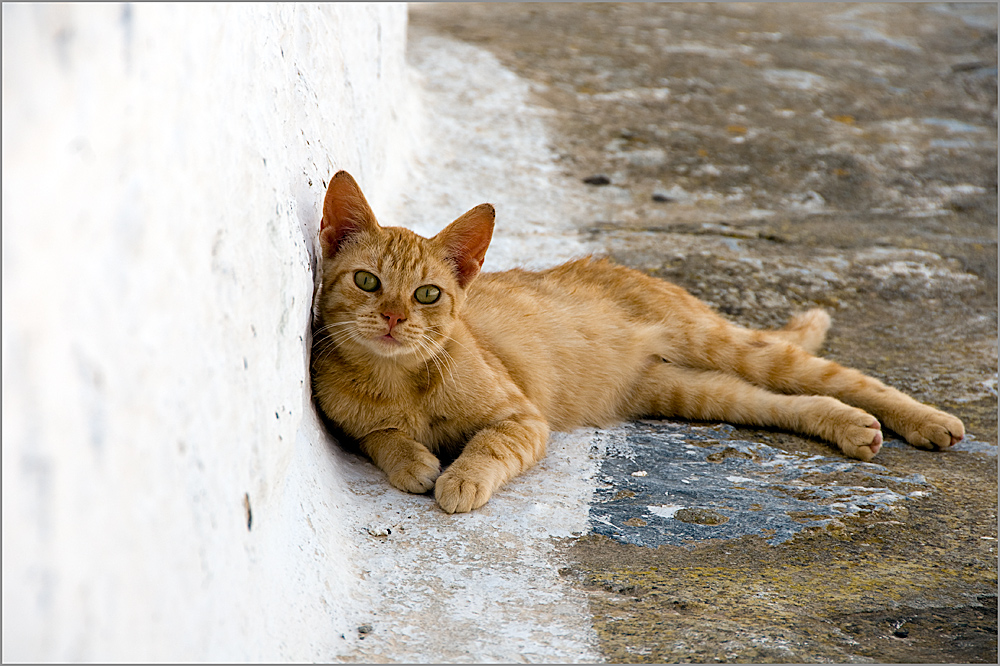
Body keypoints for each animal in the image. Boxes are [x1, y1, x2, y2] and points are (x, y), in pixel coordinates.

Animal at [310, 171, 960, 512]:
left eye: (427, 295)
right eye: (368, 282)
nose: (394, 319)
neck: (398, 378)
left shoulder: (522, 418)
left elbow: (488, 447)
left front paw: (460, 479)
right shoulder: (353, 423)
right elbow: (381, 437)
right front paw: (412, 458)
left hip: (720, 342)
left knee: (843, 377)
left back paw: (928, 421)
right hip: (690, 392)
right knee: (790, 402)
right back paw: (851, 427)